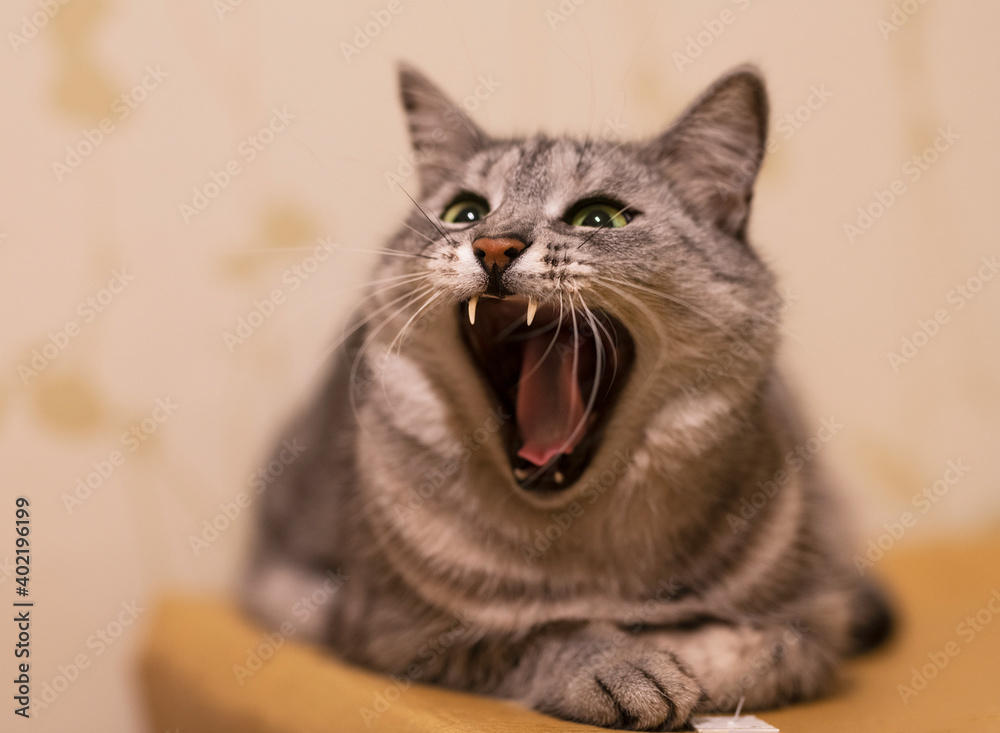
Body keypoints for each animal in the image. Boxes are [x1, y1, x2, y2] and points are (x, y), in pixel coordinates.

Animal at [244, 66, 900, 728]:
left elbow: (774, 645)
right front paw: (620, 664)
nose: (494, 246)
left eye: (600, 218)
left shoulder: (819, 610)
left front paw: (691, 653)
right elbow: (533, 636)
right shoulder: (389, 627)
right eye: (465, 211)